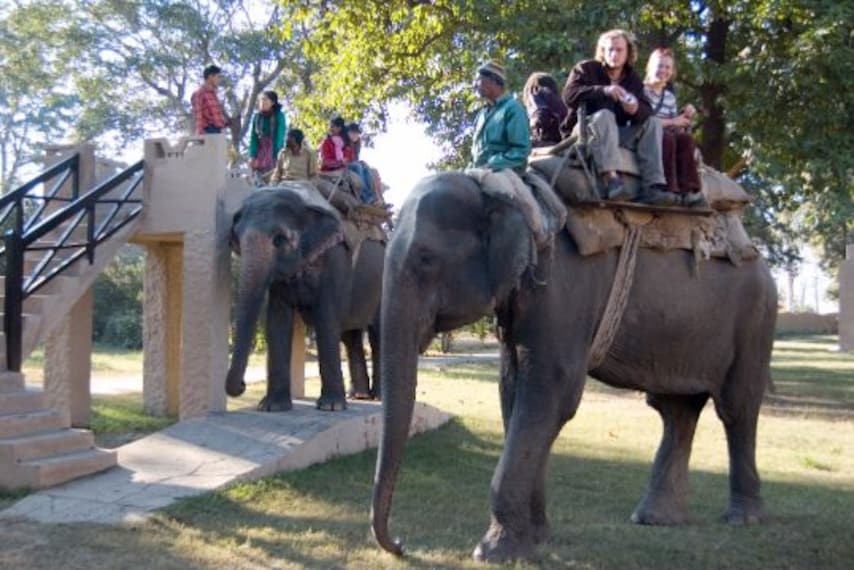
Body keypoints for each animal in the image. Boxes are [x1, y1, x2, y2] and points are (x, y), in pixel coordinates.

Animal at [225, 185, 384, 411]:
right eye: (237, 239)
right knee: (350, 337)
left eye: (280, 239)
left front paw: (331, 407)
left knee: (377, 334)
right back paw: (359, 396)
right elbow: (277, 321)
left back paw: (378, 398)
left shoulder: (335, 259)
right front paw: (272, 407)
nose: (242, 385)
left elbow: (326, 318)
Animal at [371, 172, 777, 562]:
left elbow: (552, 390)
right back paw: (655, 519)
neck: (507, 192)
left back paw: (743, 519)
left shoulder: (566, 289)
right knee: (675, 409)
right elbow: (514, 392)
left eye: (426, 259)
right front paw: (537, 538)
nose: (402, 544)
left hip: (756, 320)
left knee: (736, 408)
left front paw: (495, 550)